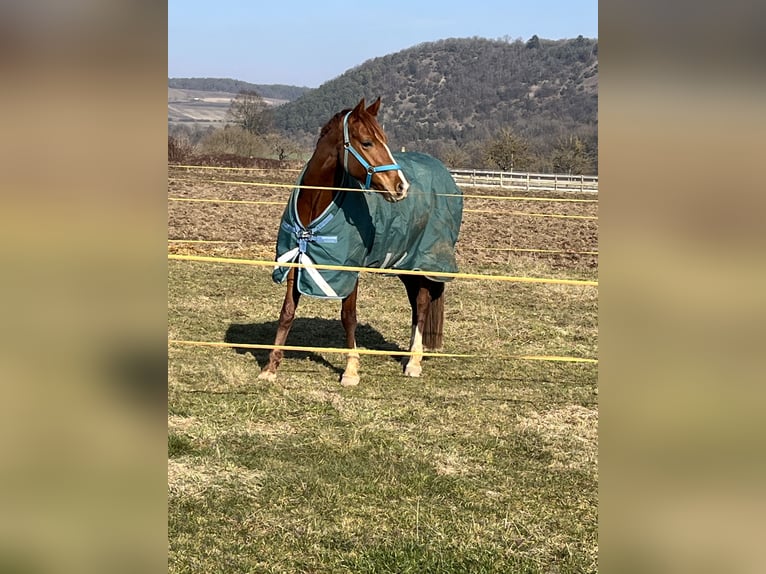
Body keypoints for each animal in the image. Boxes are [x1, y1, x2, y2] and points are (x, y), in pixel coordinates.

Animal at [260, 98, 462, 388]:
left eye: (384, 140)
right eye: (367, 142)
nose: (401, 186)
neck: (314, 208)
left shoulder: (349, 270)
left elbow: (349, 317)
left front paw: (351, 370)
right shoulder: (296, 260)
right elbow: (287, 312)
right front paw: (270, 367)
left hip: (424, 263)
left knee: (422, 305)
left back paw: (413, 362)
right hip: (405, 263)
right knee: (415, 306)